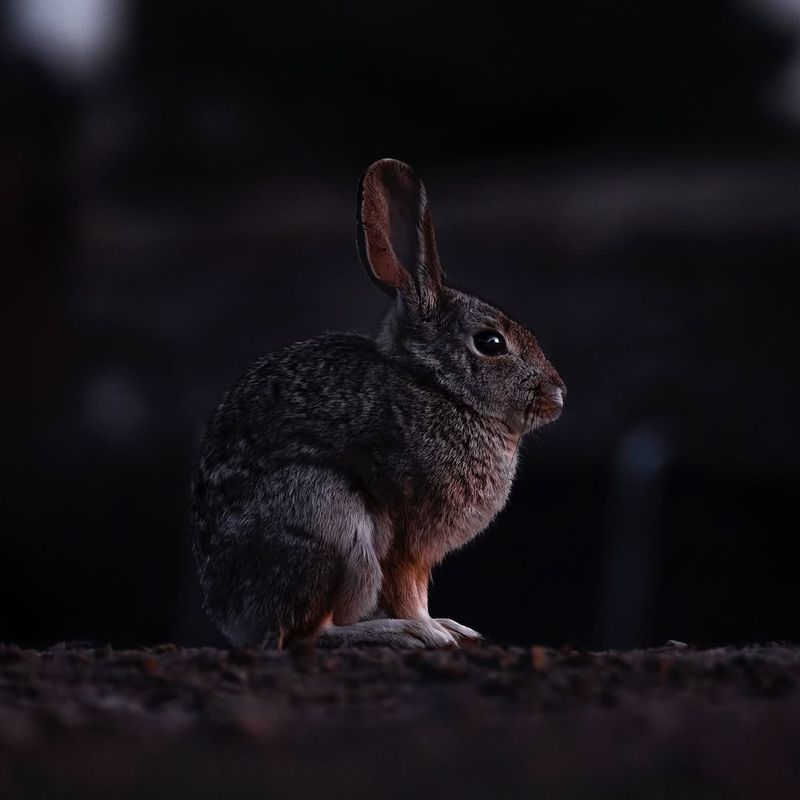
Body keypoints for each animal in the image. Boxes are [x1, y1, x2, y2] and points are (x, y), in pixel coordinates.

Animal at [190, 158, 566, 649]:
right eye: (491, 343)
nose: (558, 395)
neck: (437, 386)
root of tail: (230, 614)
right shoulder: (407, 536)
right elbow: (409, 589)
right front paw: (432, 631)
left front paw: (450, 627)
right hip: (327, 517)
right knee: (306, 634)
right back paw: (397, 633)